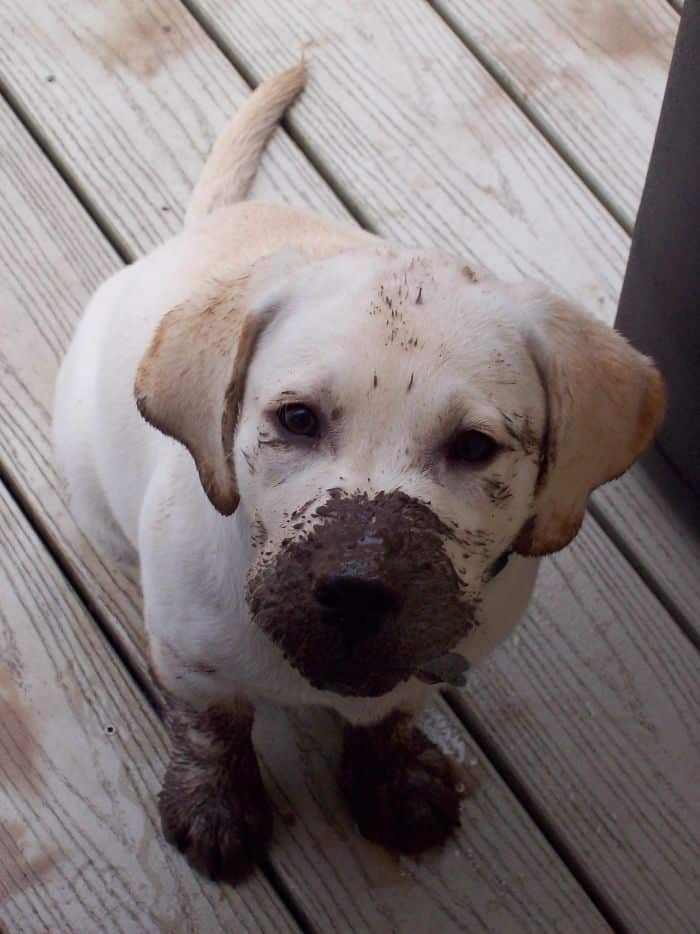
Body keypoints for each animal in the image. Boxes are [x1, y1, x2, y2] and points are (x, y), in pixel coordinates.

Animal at [52, 66, 664, 884]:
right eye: (297, 419)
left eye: (474, 447)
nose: (357, 591)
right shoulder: (190, 663)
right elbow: (211, 728)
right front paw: (216, 805)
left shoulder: (423, 664)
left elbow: (391, 715)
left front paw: (391, 780)